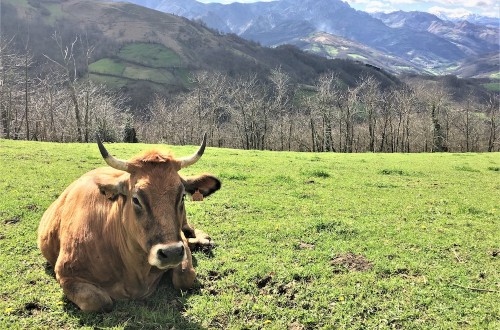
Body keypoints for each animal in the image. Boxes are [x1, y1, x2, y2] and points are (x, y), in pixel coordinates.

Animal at [37, 134, 221, 312]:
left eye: (182, 196)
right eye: (136, 199)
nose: (172, 253)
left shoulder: (180, 243)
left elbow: (184, 277)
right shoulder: (66, 274)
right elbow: (99, 301)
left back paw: (204, 240)